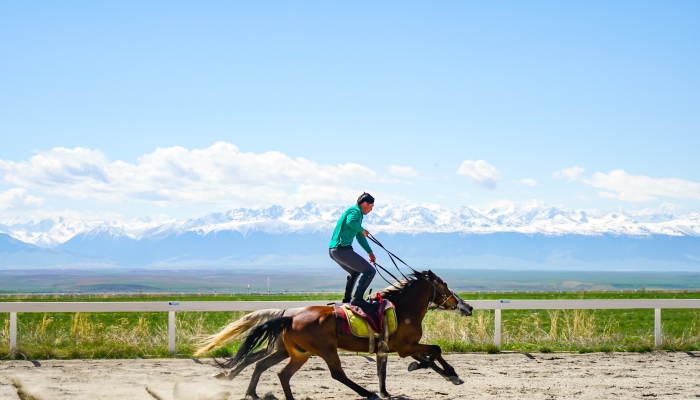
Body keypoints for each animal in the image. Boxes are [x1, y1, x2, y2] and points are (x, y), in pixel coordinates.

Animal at [211, 270, 472, 400]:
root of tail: (290, 316)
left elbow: (390, 369)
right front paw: (437, 371)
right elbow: (434, 351)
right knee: (336, 373)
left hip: (295, 351)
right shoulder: (405, 347)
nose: (467, 306)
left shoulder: (392, 348)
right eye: (445, 285)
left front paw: (450, 375)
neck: (402, 308)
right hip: (324, 349)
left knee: (270, 368)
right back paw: (367, 393)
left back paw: (254, 392)